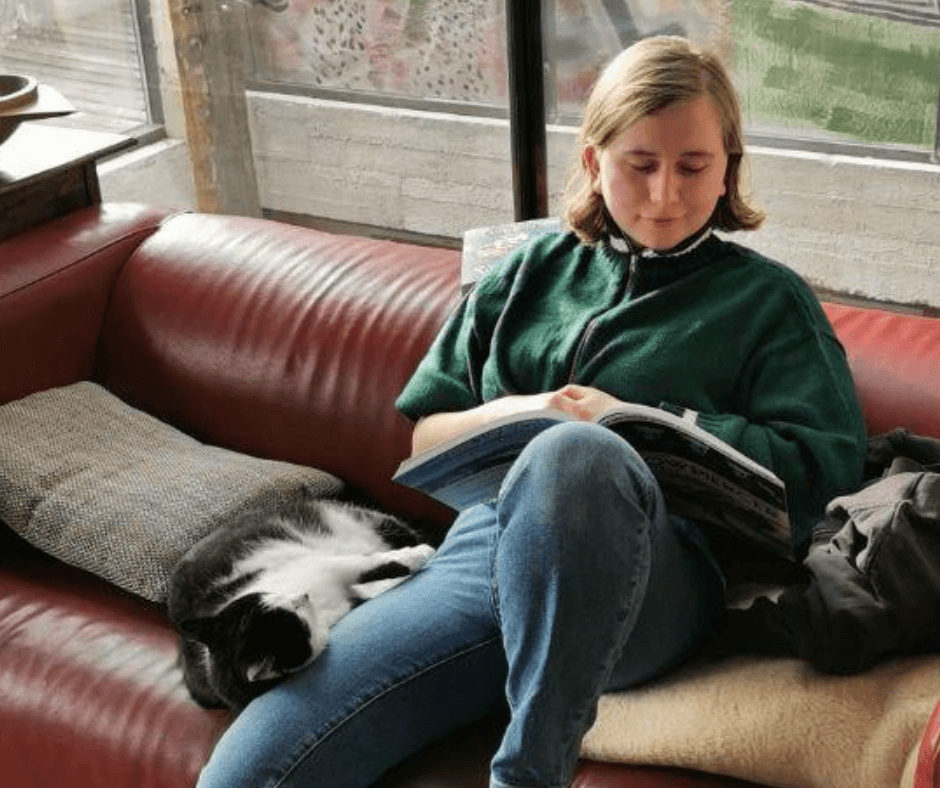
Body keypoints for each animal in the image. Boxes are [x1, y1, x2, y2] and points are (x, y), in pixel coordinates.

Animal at [167, 493, 434, 710]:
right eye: (294, 621)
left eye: (266, 597)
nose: (300, 596)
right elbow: (374, 569)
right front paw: (416, 558)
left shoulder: (326, 565)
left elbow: (368, 563)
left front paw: (420, 553)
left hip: (358, 521)